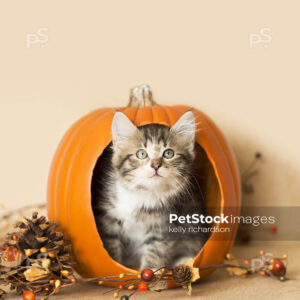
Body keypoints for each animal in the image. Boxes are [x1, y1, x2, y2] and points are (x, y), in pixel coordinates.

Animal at [92, 110, 209, 270]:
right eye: (141, 154)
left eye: (169, 153)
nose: (155, 165)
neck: (143, 193)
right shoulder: (108, 217)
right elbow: (111, 246)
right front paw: (116, 265)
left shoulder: (163, 226)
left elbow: (155, 251)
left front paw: (150, 271)